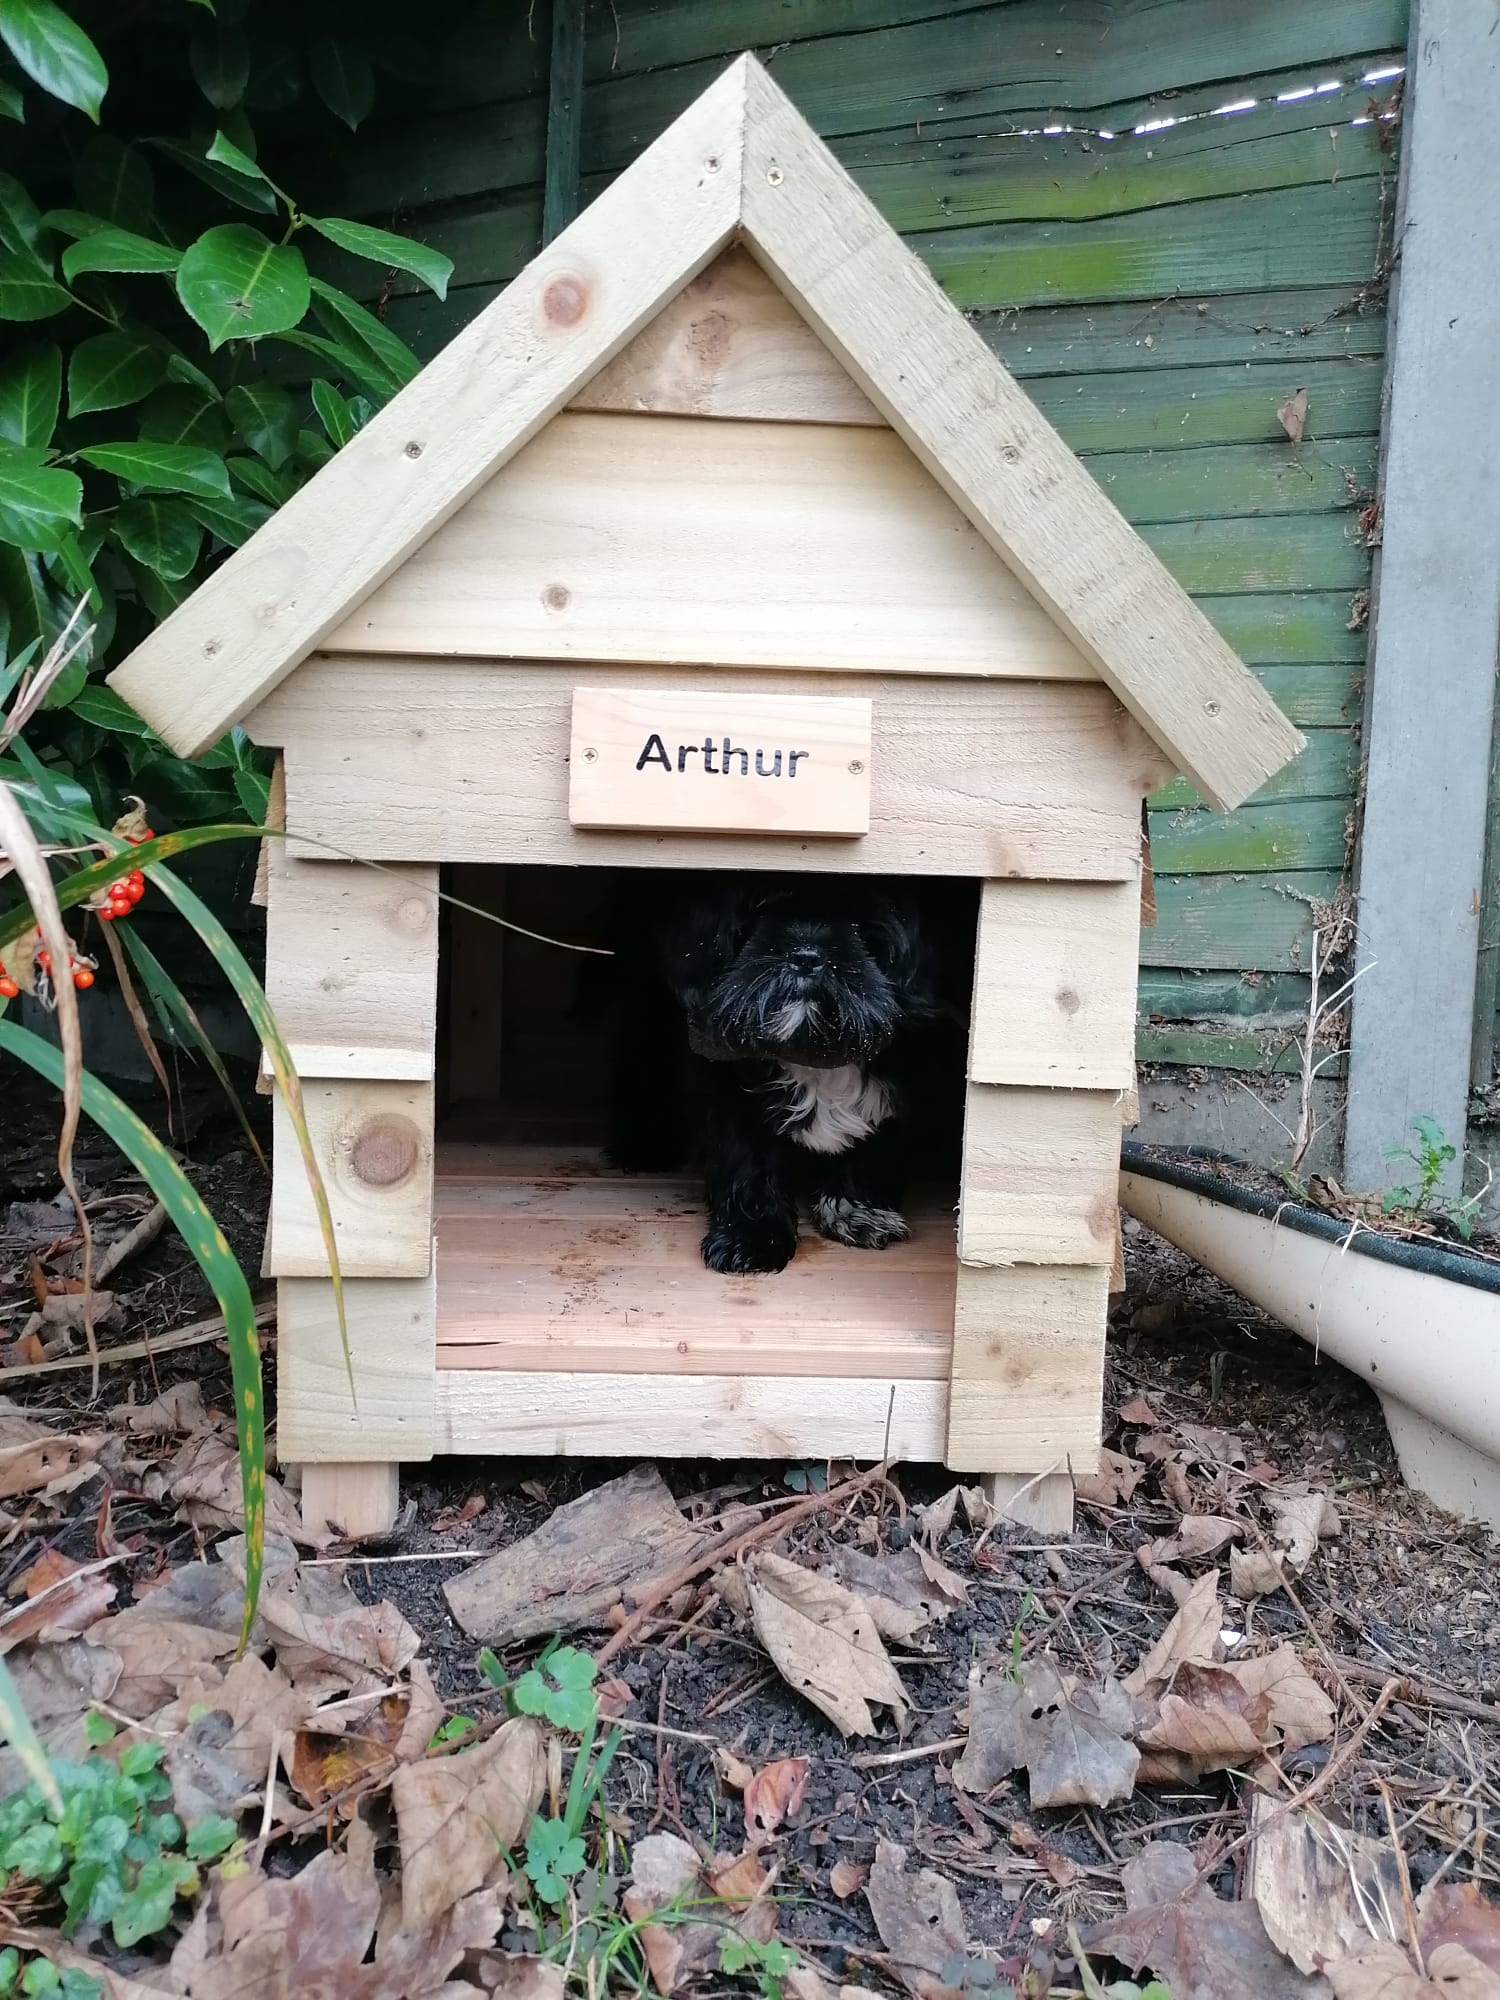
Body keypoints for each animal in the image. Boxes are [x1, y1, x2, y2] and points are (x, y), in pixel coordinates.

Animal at [612, 868, 976, 1272]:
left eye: (856, 922)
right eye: (762, 911)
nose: (806, 956)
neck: (811, 1048)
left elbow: (872, 1152)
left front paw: (857, 1210)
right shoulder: (726, 1097)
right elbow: (748, 1164)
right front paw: (752, 1236)